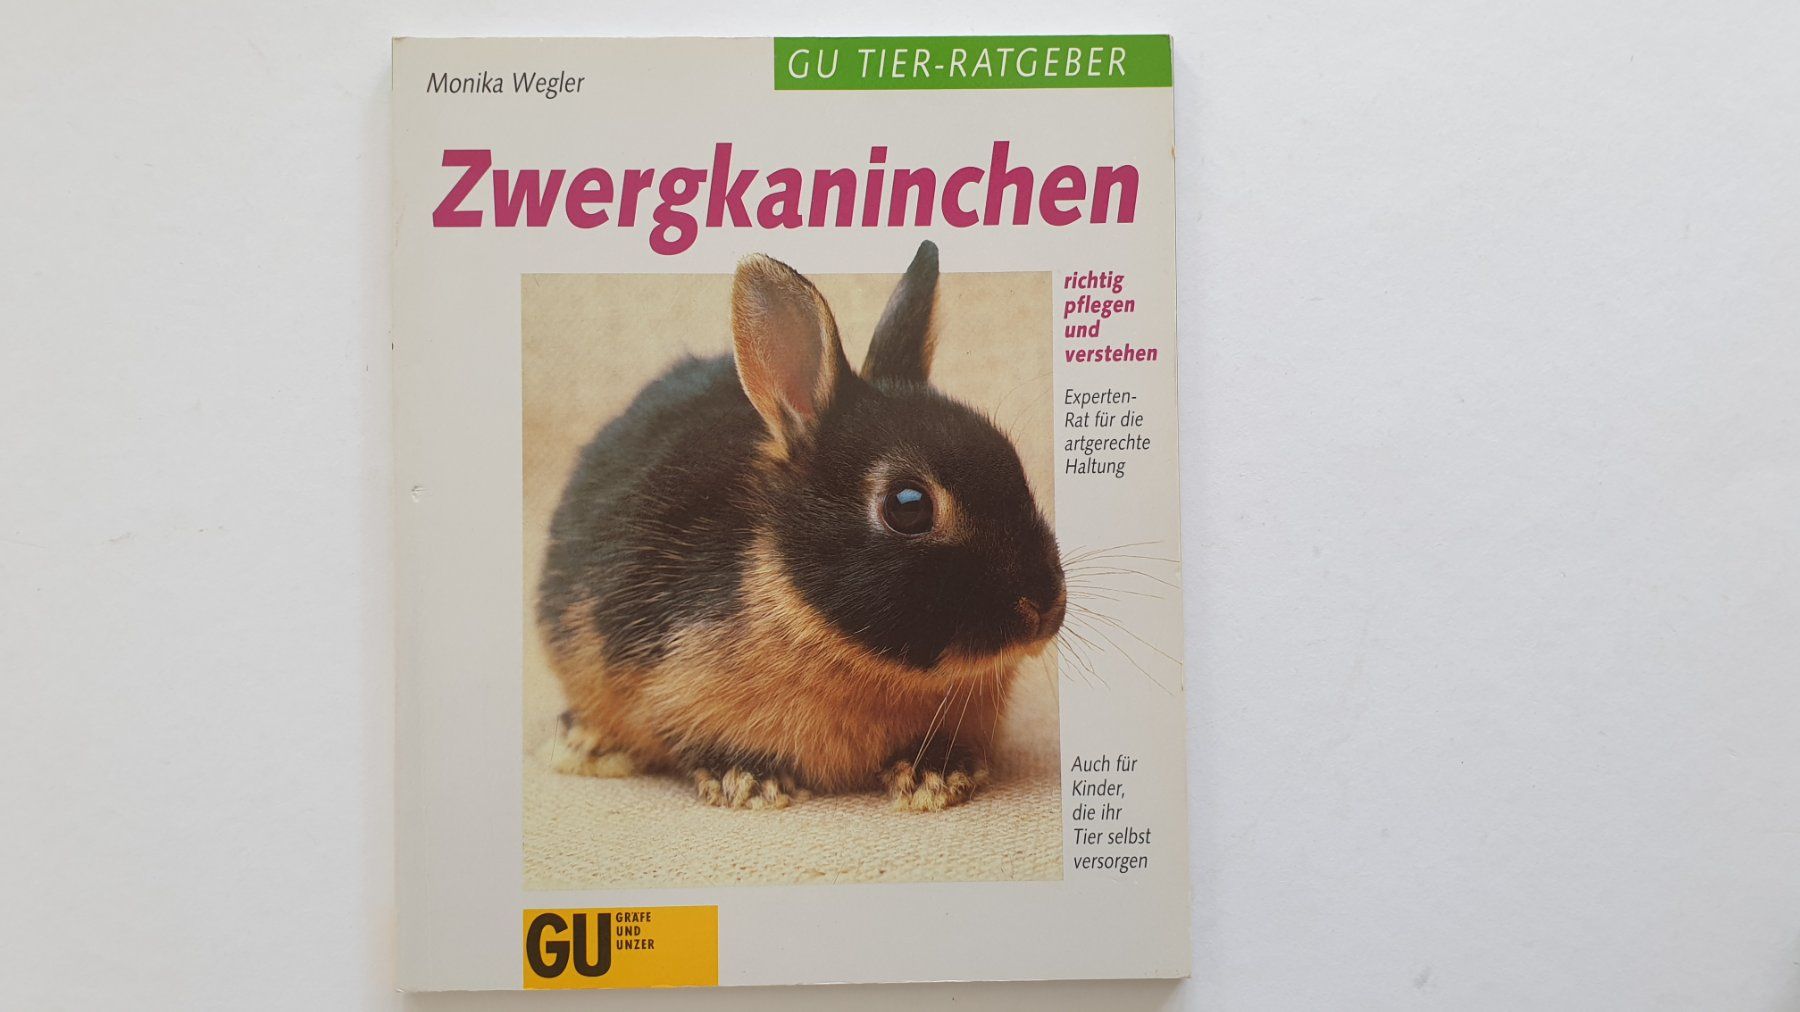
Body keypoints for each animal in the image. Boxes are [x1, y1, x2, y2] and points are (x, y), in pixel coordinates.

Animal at [535, 240, 1065, 811]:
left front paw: (936, 777)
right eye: (908, 506)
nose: (1043, 604)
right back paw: (584, 746)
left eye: (1012, 461)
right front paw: (749, 781)